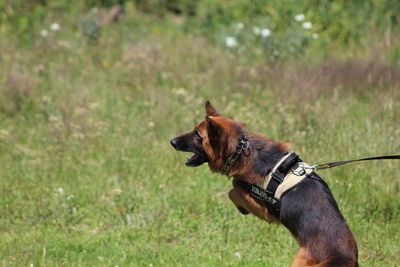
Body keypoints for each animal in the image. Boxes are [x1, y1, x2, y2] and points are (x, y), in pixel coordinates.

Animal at [170, 101, 358, 266]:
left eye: (197, 134)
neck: (241, 150)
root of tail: (344, 258)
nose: (172, 141)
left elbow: (232, 190)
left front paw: (241, 207)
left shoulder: (262, 210)